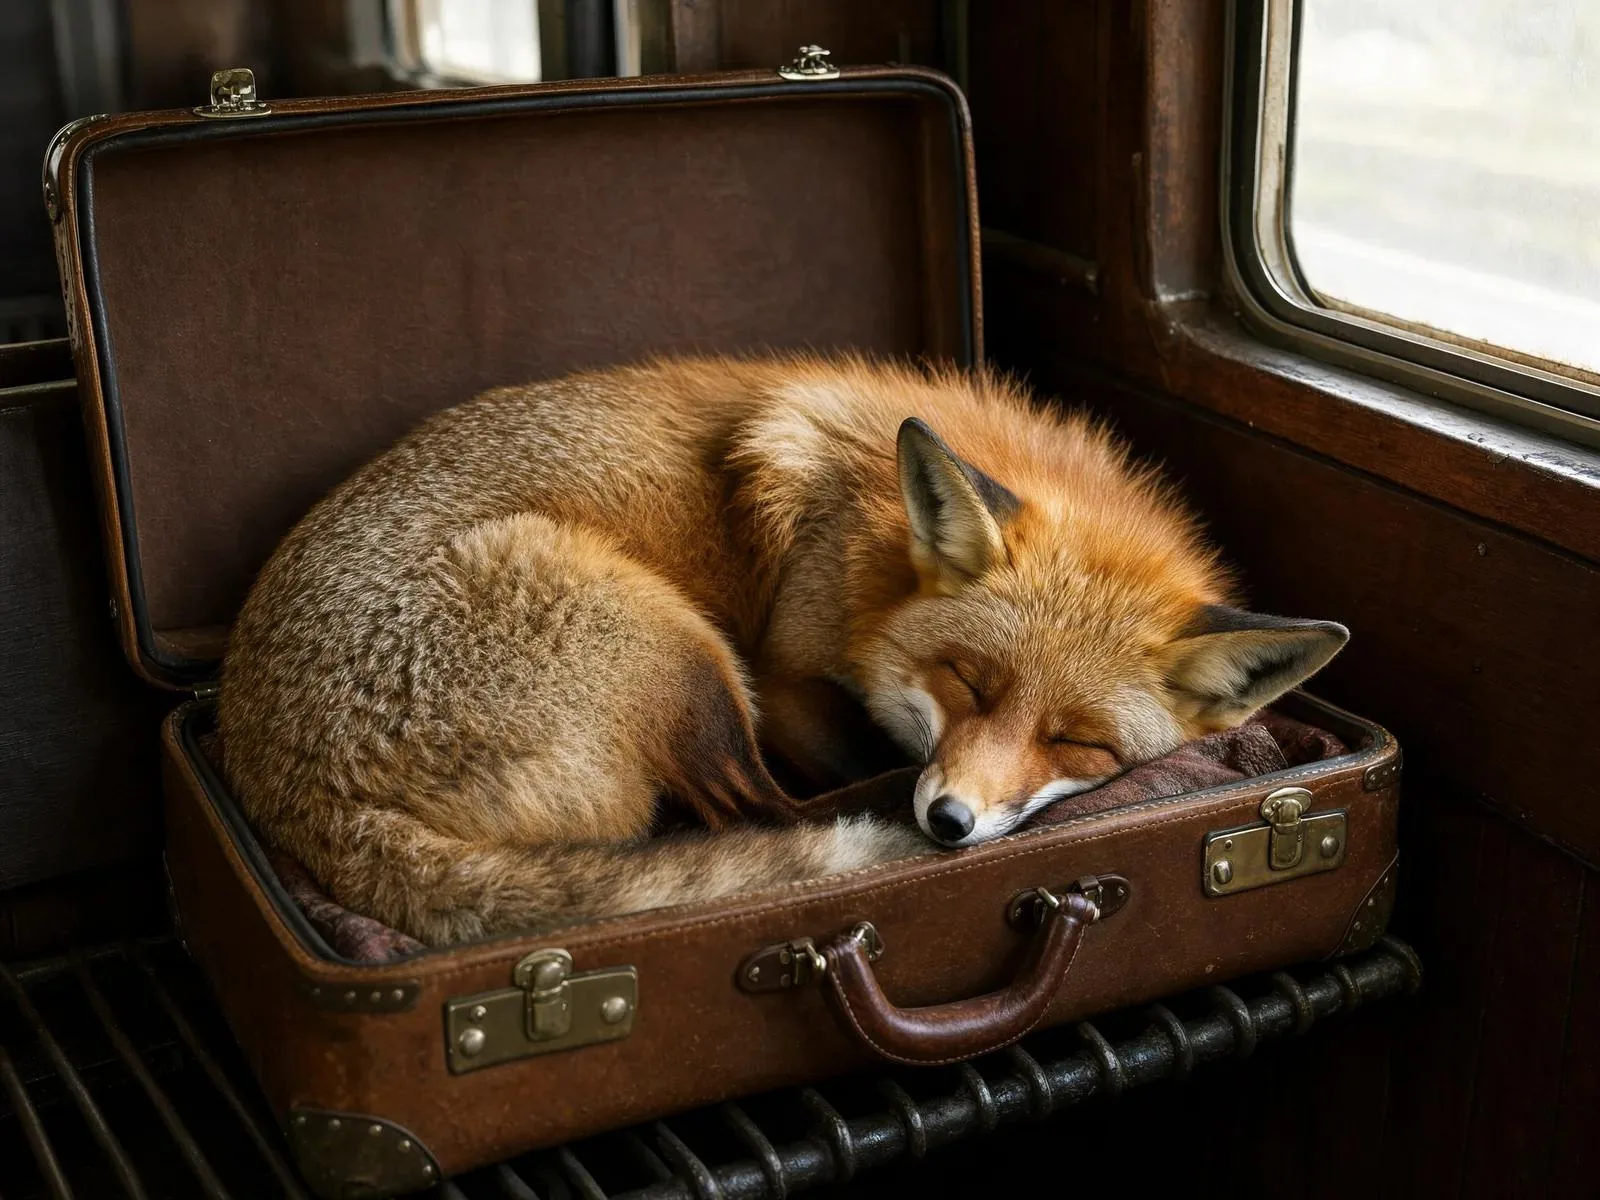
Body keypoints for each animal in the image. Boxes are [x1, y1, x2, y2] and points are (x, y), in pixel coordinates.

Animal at [219, 354, 1348, 946]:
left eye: (1079, 744)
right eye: (966, 680)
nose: (949, 824)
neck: (867, 538)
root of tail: (288, 786)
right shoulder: (783, 672)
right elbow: (835, 768)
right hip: (683, 650)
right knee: (759, 812)